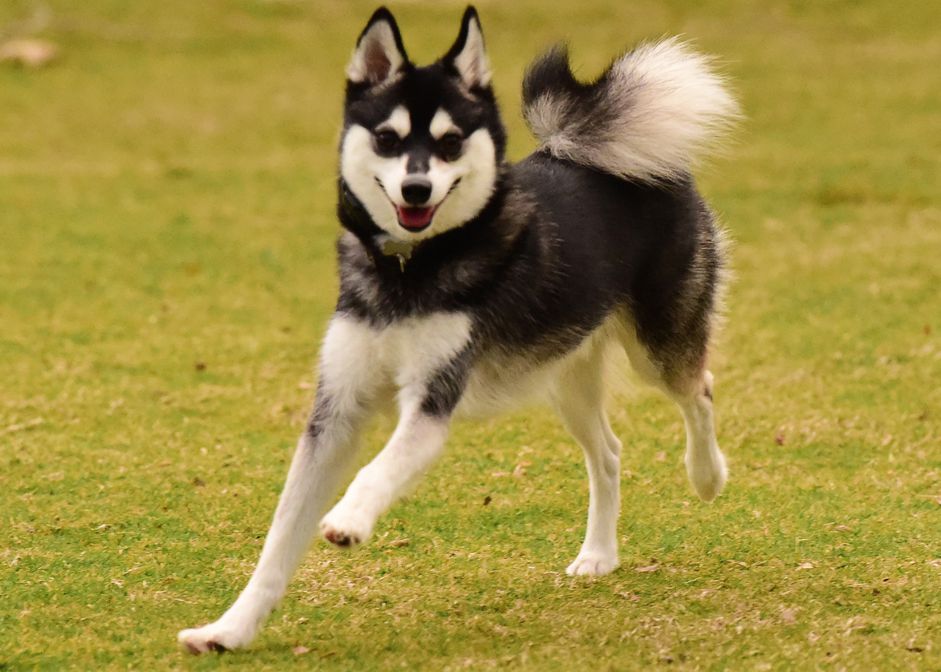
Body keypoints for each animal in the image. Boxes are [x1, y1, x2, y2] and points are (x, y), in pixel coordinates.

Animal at [174, 5, 736, 652]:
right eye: (387, 139)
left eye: (449, 143)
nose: (416, 188)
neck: (408, 272)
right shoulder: (335, 411)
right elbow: (278, 540)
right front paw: (229, 630)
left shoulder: (431, 402)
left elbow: (377, 469)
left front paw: (347, 520)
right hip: (563, 374)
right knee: (610, 453)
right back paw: (598, 555)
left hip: (656, 349)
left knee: (700, 389)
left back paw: (707, 476)